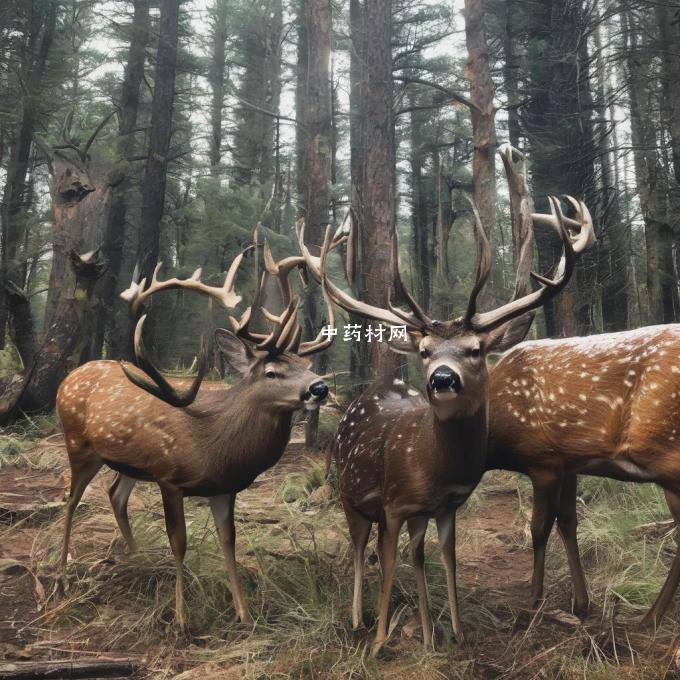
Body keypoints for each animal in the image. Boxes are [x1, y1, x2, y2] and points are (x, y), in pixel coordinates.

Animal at [54, 236, 336, 628]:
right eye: (272, 373)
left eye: (304, 363)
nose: (319, 388)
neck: (217, 445)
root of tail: (67, 379)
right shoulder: (169, 477)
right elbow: (179, 541)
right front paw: (181, 616)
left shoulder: (224, 488)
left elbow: (228, 539)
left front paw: (243, 613)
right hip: (77, 443)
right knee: (70, 500)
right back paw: (62, 579)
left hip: (129, 463)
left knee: (115, 494)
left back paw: (138, 557)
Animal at [302, 157, 596, 652]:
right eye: (424, 351)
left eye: (475, 349)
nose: (442, 378)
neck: (431, 465)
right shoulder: (394, 504)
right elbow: (388, 562)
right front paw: (380, 640)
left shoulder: (445, 506)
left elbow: (447, 559)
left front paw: (452, 633)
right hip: (349, 491)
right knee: (361, 548)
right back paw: (359, 618)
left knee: (410, 554)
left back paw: (421, 630)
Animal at [488, 324, 680, 628]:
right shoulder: (568, 464)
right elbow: (568, 522)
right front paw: (581, 603)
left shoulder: (543, 461)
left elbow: (539, 528)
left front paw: (533, 603)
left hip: (667, 455)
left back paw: (651, 616)